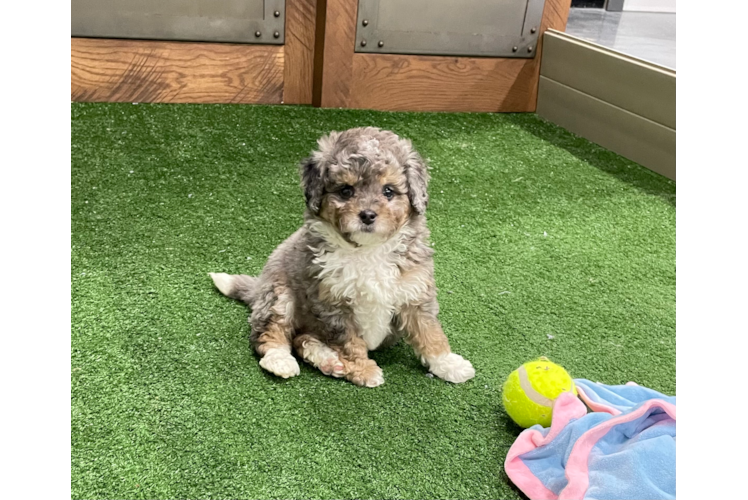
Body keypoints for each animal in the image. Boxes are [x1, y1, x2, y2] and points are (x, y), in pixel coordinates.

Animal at [212, 128, 474, 386]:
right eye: (346, 191)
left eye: (388, 191)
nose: (367, 215)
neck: (368, 250)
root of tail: (257, 289)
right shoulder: (332, 302)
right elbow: (348, 340)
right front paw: (363, 370)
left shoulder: (415, 291)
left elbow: (430, 331)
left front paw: (448, 364)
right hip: (279, 294)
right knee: (269, 333)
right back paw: (280, 361)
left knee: (301, 338)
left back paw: (327, 360)